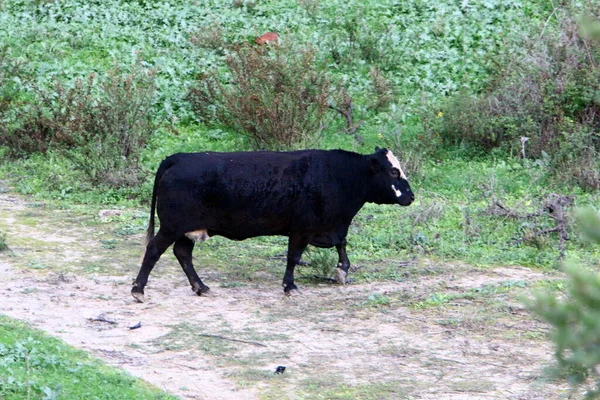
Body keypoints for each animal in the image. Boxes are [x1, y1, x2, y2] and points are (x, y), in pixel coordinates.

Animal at [131, 146, 412, 300]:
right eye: (393, 171)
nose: (410, 196)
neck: (338, 175)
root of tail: (179, 157)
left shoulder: (330, 227)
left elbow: (341, 244)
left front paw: (342, 269)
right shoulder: (302, 229)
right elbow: (293, 257)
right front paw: (290, 286)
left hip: (186, 230)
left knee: (182, 254)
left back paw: (201, 287)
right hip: (172, 226)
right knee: (154, 249)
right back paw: (138, 290)